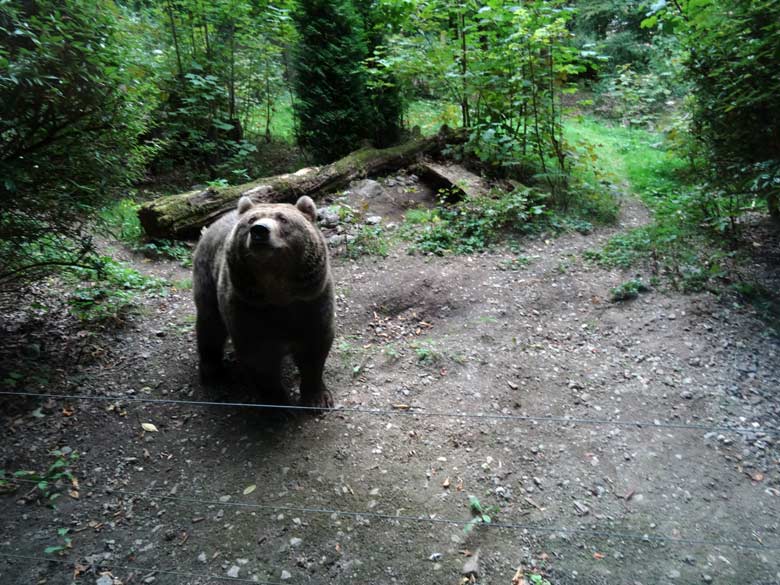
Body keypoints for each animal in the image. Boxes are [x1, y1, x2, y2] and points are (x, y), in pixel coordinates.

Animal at [192, 195, 336, 406]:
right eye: (252, 220)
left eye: (283, 218)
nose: (259, 230)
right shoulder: (248, 308)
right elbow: (260, 360)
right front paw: (277, 401)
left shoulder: (312, 301)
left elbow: (314, 349)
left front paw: (317, 398)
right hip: (207, 277)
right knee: (210, 324)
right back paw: (212, 371)